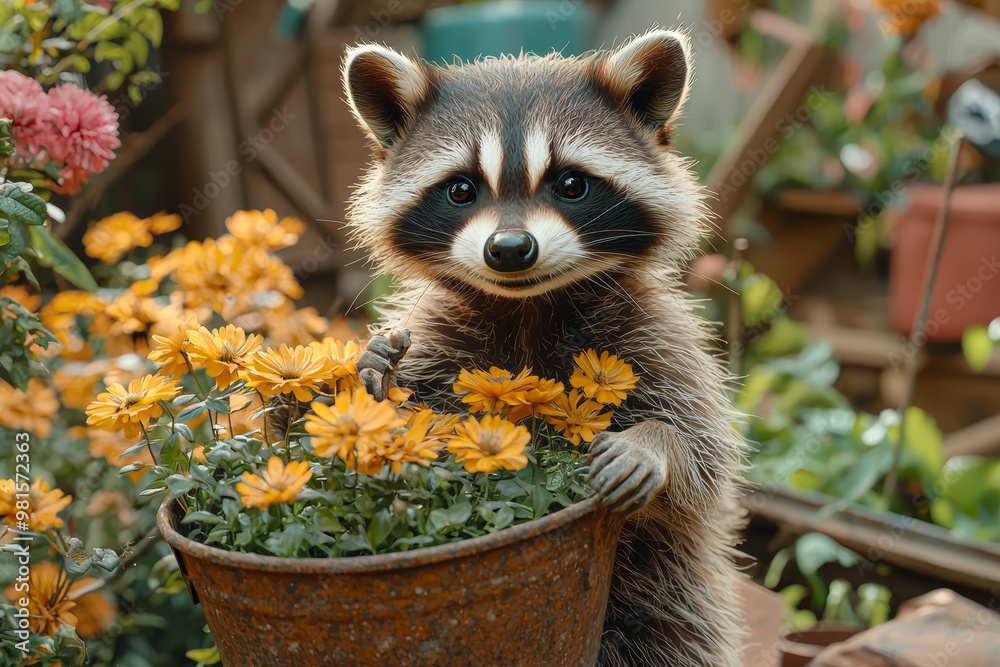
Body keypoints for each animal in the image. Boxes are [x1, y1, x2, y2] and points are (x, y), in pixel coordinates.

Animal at [342, 30, 744, 667]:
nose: (509, 248)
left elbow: (703, 452)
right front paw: (377, 368)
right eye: (461, 190)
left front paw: (654, 444)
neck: (528, 305)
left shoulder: (657, 334)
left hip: (670, 595)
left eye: (571, 184)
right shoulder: (442, 334)